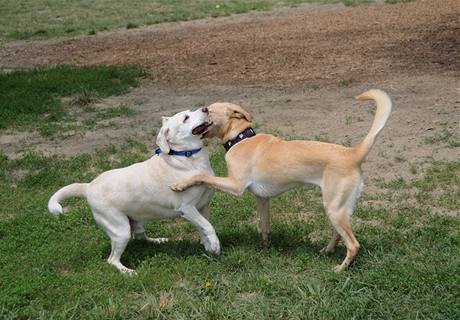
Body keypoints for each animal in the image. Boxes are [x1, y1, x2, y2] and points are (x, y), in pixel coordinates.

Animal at [48, 107, 217, 272]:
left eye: (191, 111)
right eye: (185, 118)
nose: (205, 108)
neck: (186, 157)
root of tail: (88, 187)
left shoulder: (202, 205)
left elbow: (203, 227)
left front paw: (208, 246)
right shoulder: (187, 209)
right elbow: (208, 226)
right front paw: (215, 246)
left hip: (137, 222)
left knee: (140, 238)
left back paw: (158, 240)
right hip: (121, 231)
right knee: (112, 260)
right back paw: (127, 271)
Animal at [172, 90, 392, 272]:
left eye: (208, 110)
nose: (200, 108)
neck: (241, 138)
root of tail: (353, 153)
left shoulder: (235, 185)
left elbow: (202, 176)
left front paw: (179, 184)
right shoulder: (262, 199)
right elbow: (265, 227)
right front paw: (264, 247)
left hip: (334, 207)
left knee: (353, 244)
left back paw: (340, 269)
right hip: (337, 207)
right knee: (340, 234)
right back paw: (327, 251)